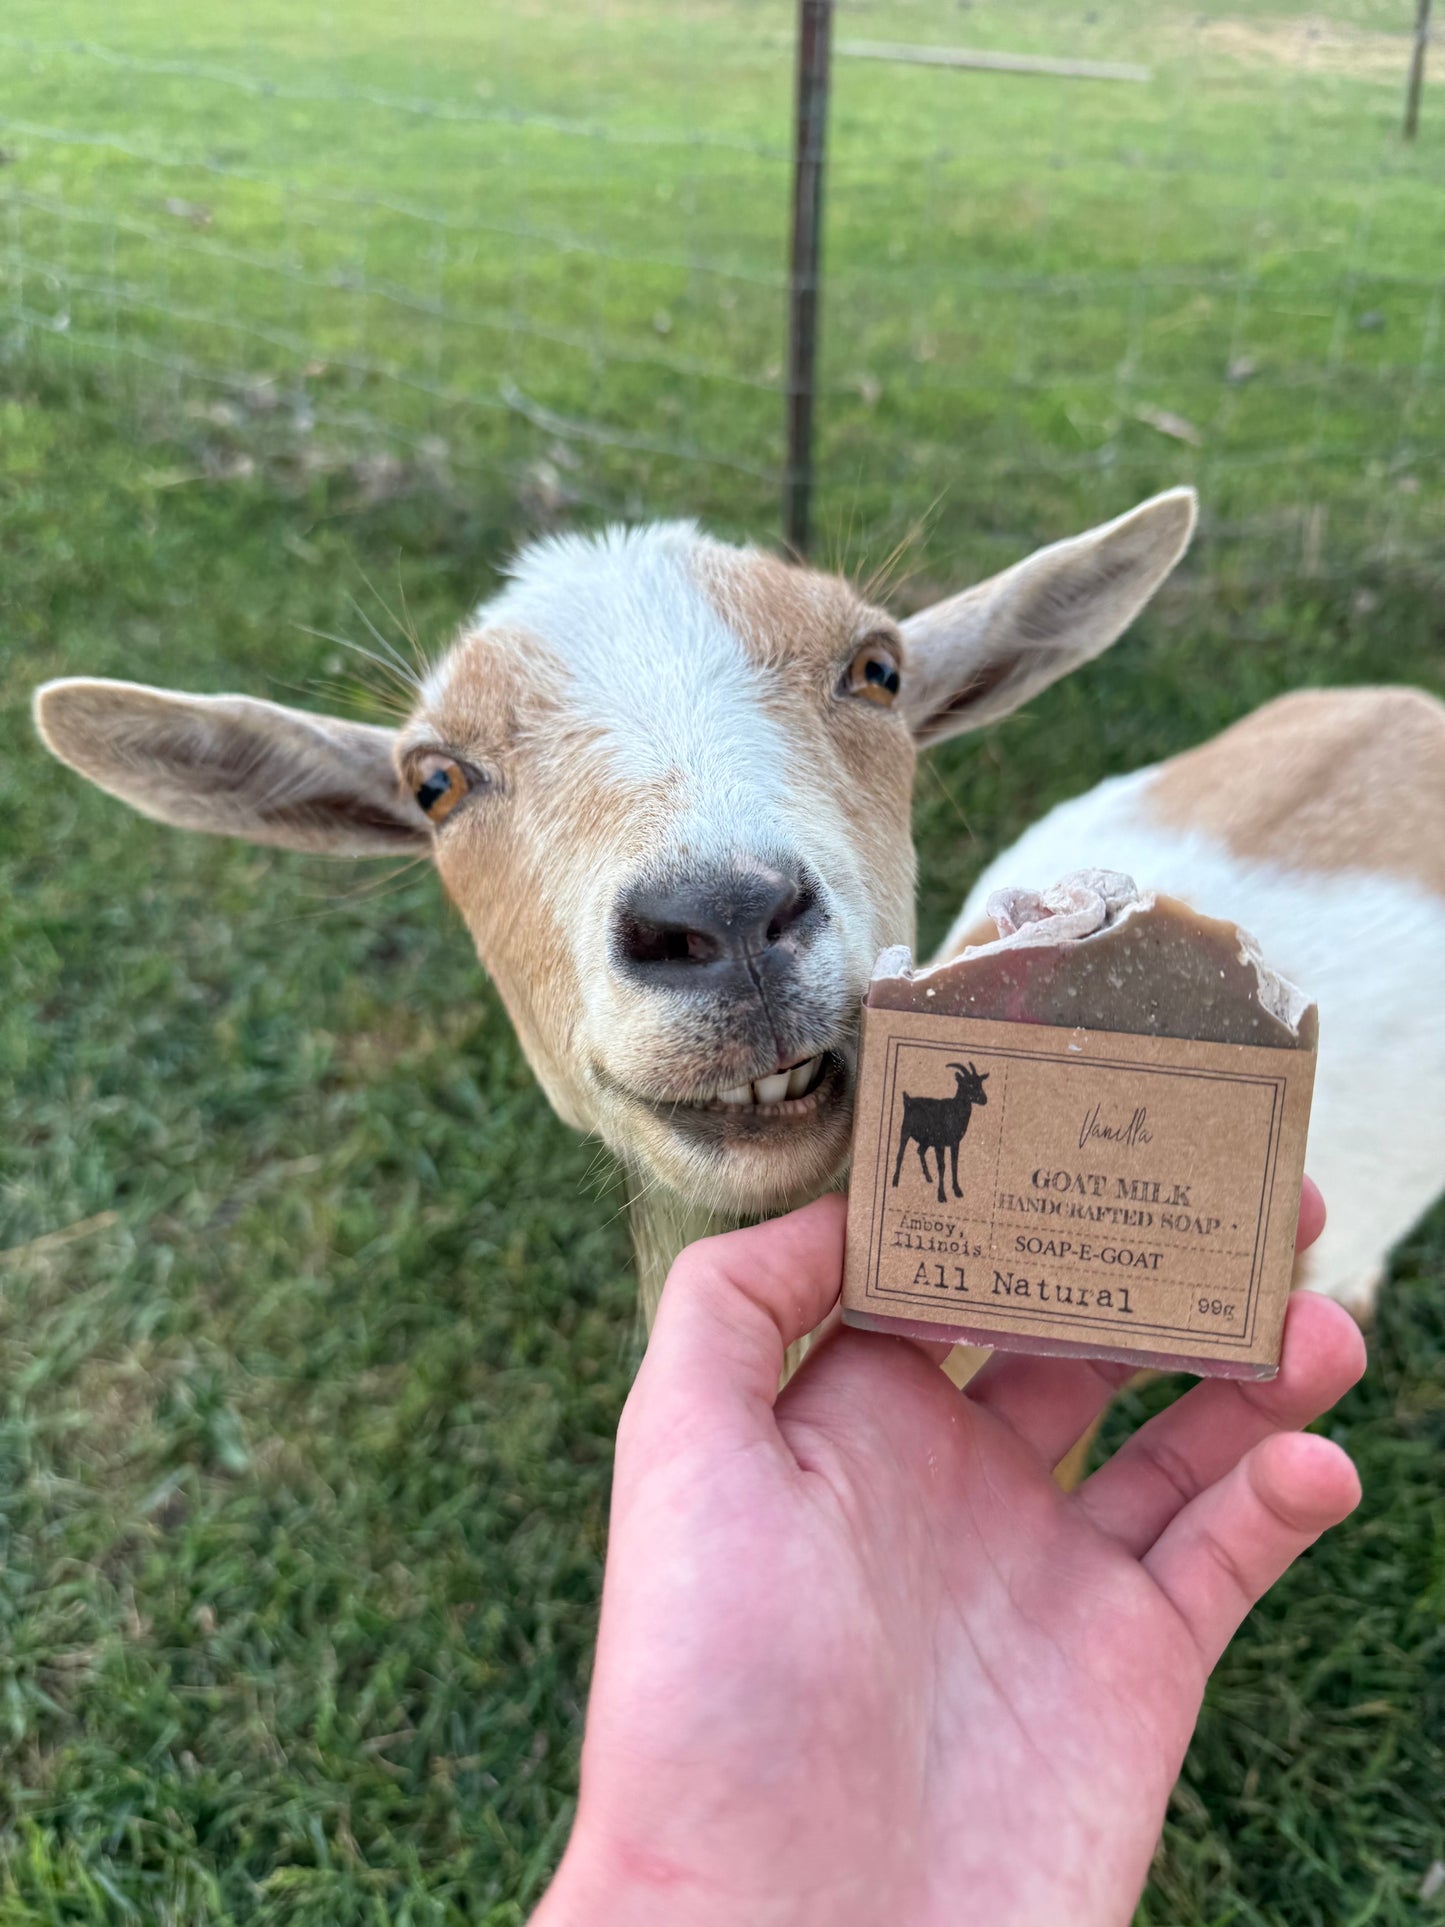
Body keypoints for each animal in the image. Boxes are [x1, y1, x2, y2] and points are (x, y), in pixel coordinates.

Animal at [893, 1062, 989, 1204]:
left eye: (980, 1083)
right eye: (968, 1084)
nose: (984, 1099)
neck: (953, 1112)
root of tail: (908, 1100)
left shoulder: (955, 1143)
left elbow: (954, 1164)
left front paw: (957, 1190)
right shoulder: (940, 1144)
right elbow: (942, 1166)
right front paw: (942, 1196)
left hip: (926, 1140)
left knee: (920, 1151)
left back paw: (928, 1177)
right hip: (905, 1131)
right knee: (900, 1154)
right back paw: (895, 1181)